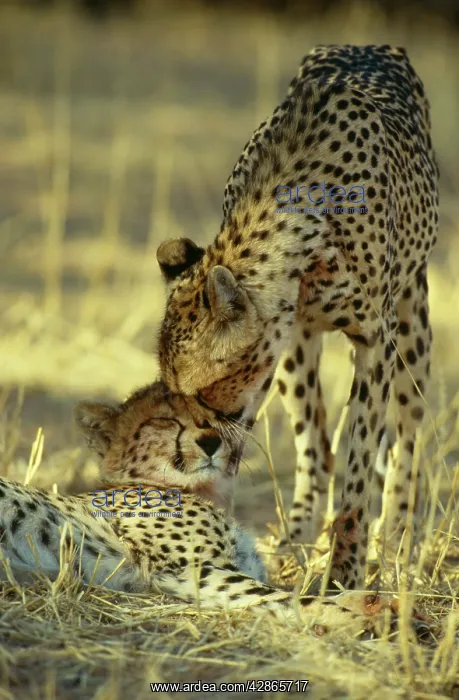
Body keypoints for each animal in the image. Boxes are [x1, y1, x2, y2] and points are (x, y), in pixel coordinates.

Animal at [0, 380, 397, 635]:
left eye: (217, 415)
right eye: (165, 419)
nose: (211, 441)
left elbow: (289, 589)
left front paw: (362, 601)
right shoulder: (190, 570)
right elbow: (280, 595)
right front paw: (354, 615)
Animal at [156, 44, 439, 591]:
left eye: (203, 391)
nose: (195, 439)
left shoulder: (375, 340)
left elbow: (360, 467)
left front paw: (346, 572)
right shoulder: (279, 341)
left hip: (413, 323)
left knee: (407, 438)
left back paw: (395, 539)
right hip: (297, 350)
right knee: (316, 447)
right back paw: (298, 539)